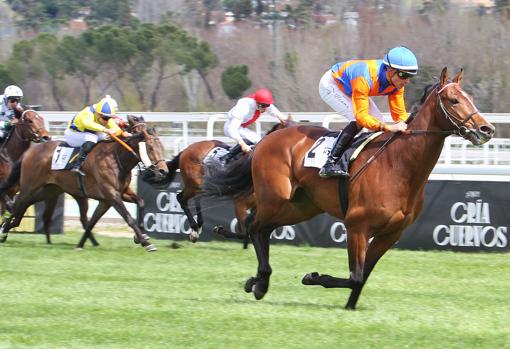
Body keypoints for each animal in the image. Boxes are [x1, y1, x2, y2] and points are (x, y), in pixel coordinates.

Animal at [0, 115, 167, 251]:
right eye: (150, 147)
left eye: (161, 147)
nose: (163, 170)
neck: (115, 157)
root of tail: (29, 152)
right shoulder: (111, 195)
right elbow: (128, 218)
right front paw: (146, 243)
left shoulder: (114, 196)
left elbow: (140, 203)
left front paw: (140, 236)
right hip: (30, 186)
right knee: (17, 204)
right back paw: (3, 230)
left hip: (49, 190)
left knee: (24, 205)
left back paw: (9, 226)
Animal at [202, 67, 494, 308]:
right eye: (454, 100)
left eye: (470, 97)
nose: (486, 129)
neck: (398, 166)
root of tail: (268, 138)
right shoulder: (357, 226)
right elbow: (355, 276)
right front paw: (312, 277)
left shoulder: (391, 234)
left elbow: (362, 277)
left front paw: (349, 306)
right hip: (275, 196)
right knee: (254, 225)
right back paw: (260, 280)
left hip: (302, 207)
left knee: (261, 228)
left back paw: (257, 280)